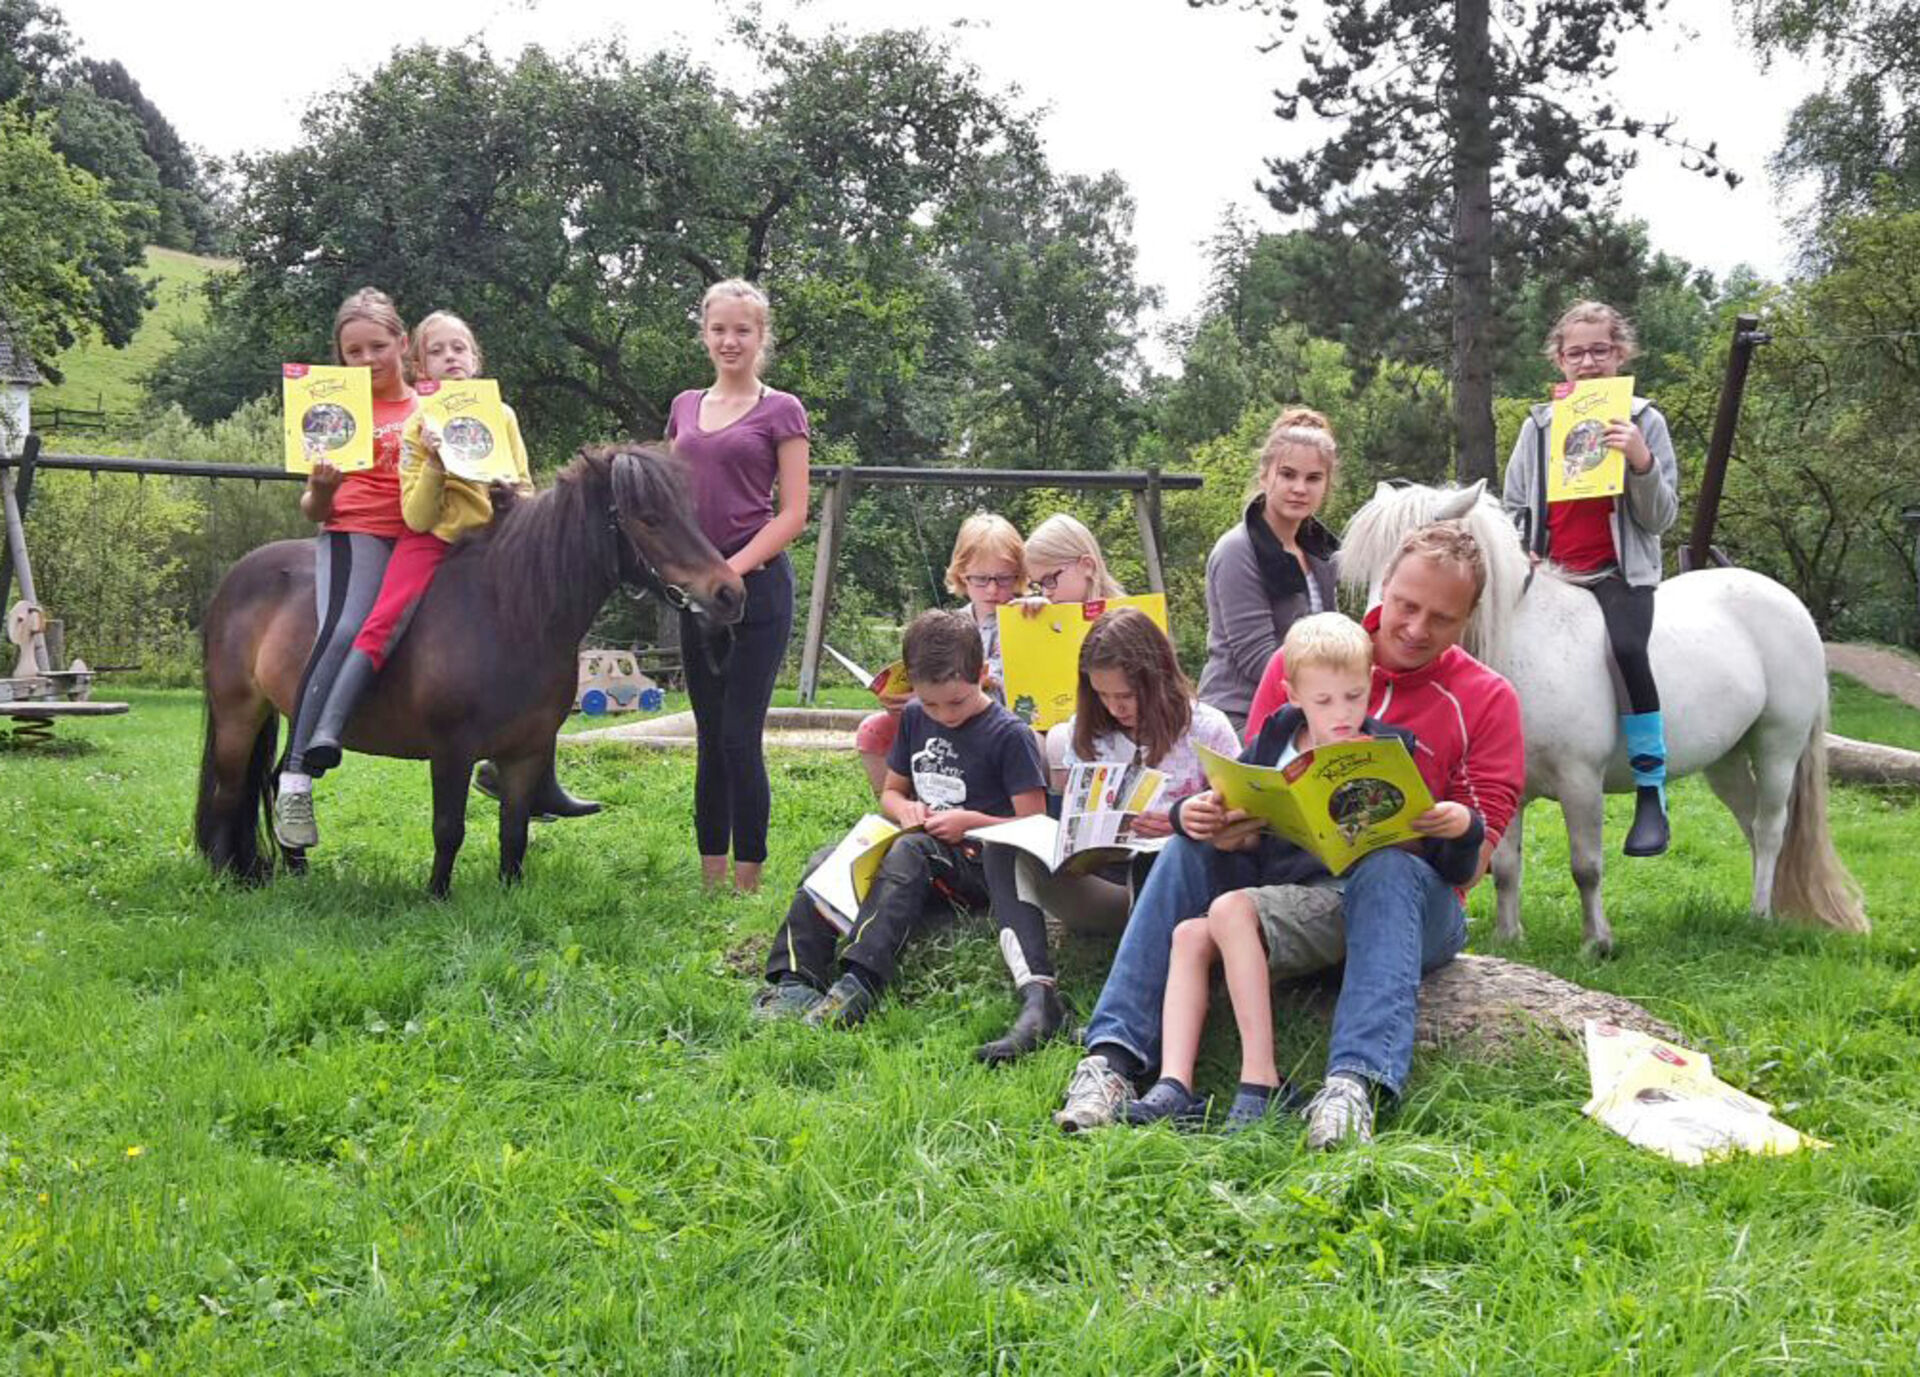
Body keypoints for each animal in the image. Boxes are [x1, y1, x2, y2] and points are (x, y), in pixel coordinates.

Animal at [196, 439, 741, 891]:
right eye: (648, 518)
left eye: (686, 512)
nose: (728, 593)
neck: (507, 613)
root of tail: (237, 577)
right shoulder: (450, 750)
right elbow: (448, 829)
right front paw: (437, 897)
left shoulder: (526, 752)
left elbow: (514, 831)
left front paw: (510, 891)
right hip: (239, 714)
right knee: (229, 792)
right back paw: (228, 878)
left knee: (276, 779)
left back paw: (297, 872)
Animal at [1336, 478, 1858, 952]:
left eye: (1410, 556)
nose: (1379, 638)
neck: (1525, 645)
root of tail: (1789, 602)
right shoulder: (1507, 786)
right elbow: (1505, 866)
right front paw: (1509, 936)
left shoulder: (1580, 780)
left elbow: (1586, 866)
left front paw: (1597, 942)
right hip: (1725, 760)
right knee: (1751, 824)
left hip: (1778, 745)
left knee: (1771, 829)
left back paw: (1759, 916)